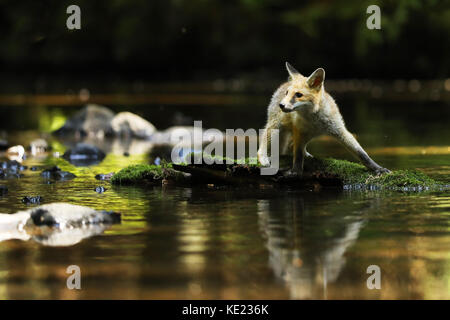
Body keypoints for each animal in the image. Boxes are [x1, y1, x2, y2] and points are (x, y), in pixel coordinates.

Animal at [256, 62, 390, 175]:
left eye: (298, 95)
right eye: (287, 93)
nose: (282, 105)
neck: (314, 121)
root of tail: (285, 83)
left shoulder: (339, 130)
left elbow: (362, 154)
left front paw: (378, 168)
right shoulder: (299, 131)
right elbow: (297, 156)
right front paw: (296, 171)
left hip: (308, 136)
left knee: (291, 146)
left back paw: (306, 154)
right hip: (277, 126)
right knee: (265, 142)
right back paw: (263, 157)